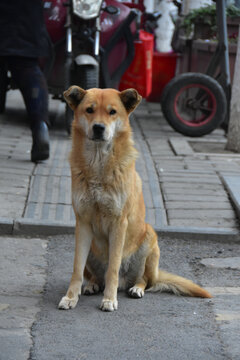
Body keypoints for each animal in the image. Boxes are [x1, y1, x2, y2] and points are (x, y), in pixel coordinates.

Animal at [58, 87, 212, 312]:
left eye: (112, 112)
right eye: (89, 110)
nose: (98, 128)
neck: (98, 165)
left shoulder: (118, 223)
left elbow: (113, 268)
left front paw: (109, 299)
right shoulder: (83, 223)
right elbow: (76, 269)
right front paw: (71, 297)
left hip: (149, 239)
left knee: (145, 280)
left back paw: (135, 288)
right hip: (90, 250)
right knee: (94, 275)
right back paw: (93, 284)